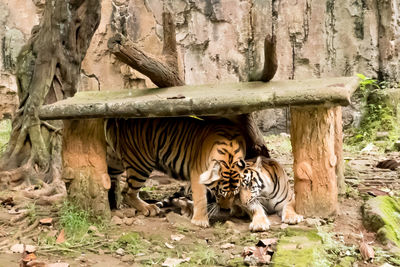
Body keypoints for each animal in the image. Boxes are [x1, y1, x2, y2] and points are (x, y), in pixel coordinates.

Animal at [104, 117, 245, 228]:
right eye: (219, 192)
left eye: (235, 193)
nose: (225, 210)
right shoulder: (197, 173)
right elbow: (200, 197)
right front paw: (200, 221)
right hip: (141, 162)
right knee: (127, 192)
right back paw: (149, 208)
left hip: (115, 162)